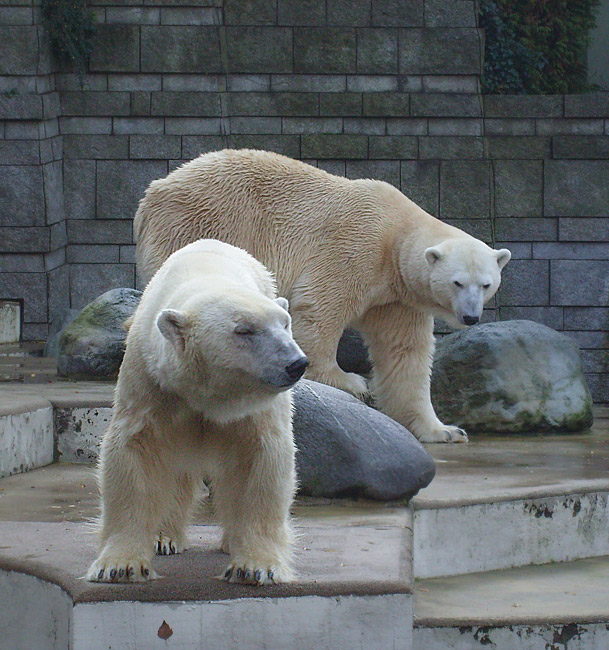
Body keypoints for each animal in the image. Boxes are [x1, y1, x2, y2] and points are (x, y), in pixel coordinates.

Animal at [84, 237, 308, 584]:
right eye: (244, 330)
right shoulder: (152, 381)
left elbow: (261, 460)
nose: (296, 363)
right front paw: (119, 565)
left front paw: (255, 566)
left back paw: (228, 540)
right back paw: (163, 537)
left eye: (285, 324)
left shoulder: (255, 408)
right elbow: (134, 453)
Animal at [133, 148, 508, 440]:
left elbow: (405, 353)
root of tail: (151, 194)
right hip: (200, 221)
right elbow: (321, 306)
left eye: (486, 284)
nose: (471, 316)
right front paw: (348, 381)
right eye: (458, 282)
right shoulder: (356, 246)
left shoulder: (396, 298)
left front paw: (444, 430)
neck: (396, 234)